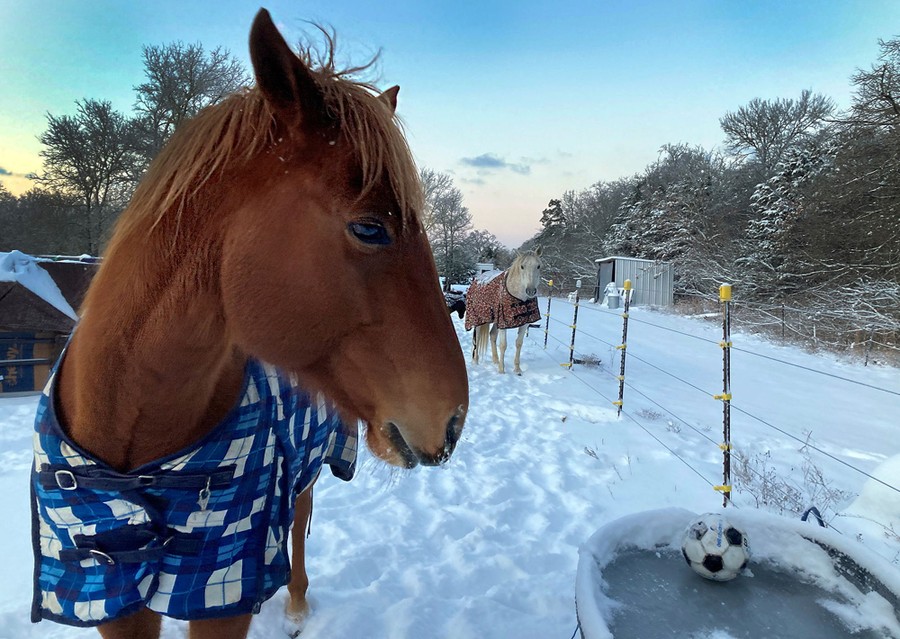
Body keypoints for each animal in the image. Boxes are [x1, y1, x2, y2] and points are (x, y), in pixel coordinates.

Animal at [30, 9, 468, 639]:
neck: (132, 443)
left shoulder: (221, 585)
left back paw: (297, 604)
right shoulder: (109, 589)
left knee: (299, 523)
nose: (452, 421)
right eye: (369, 228)